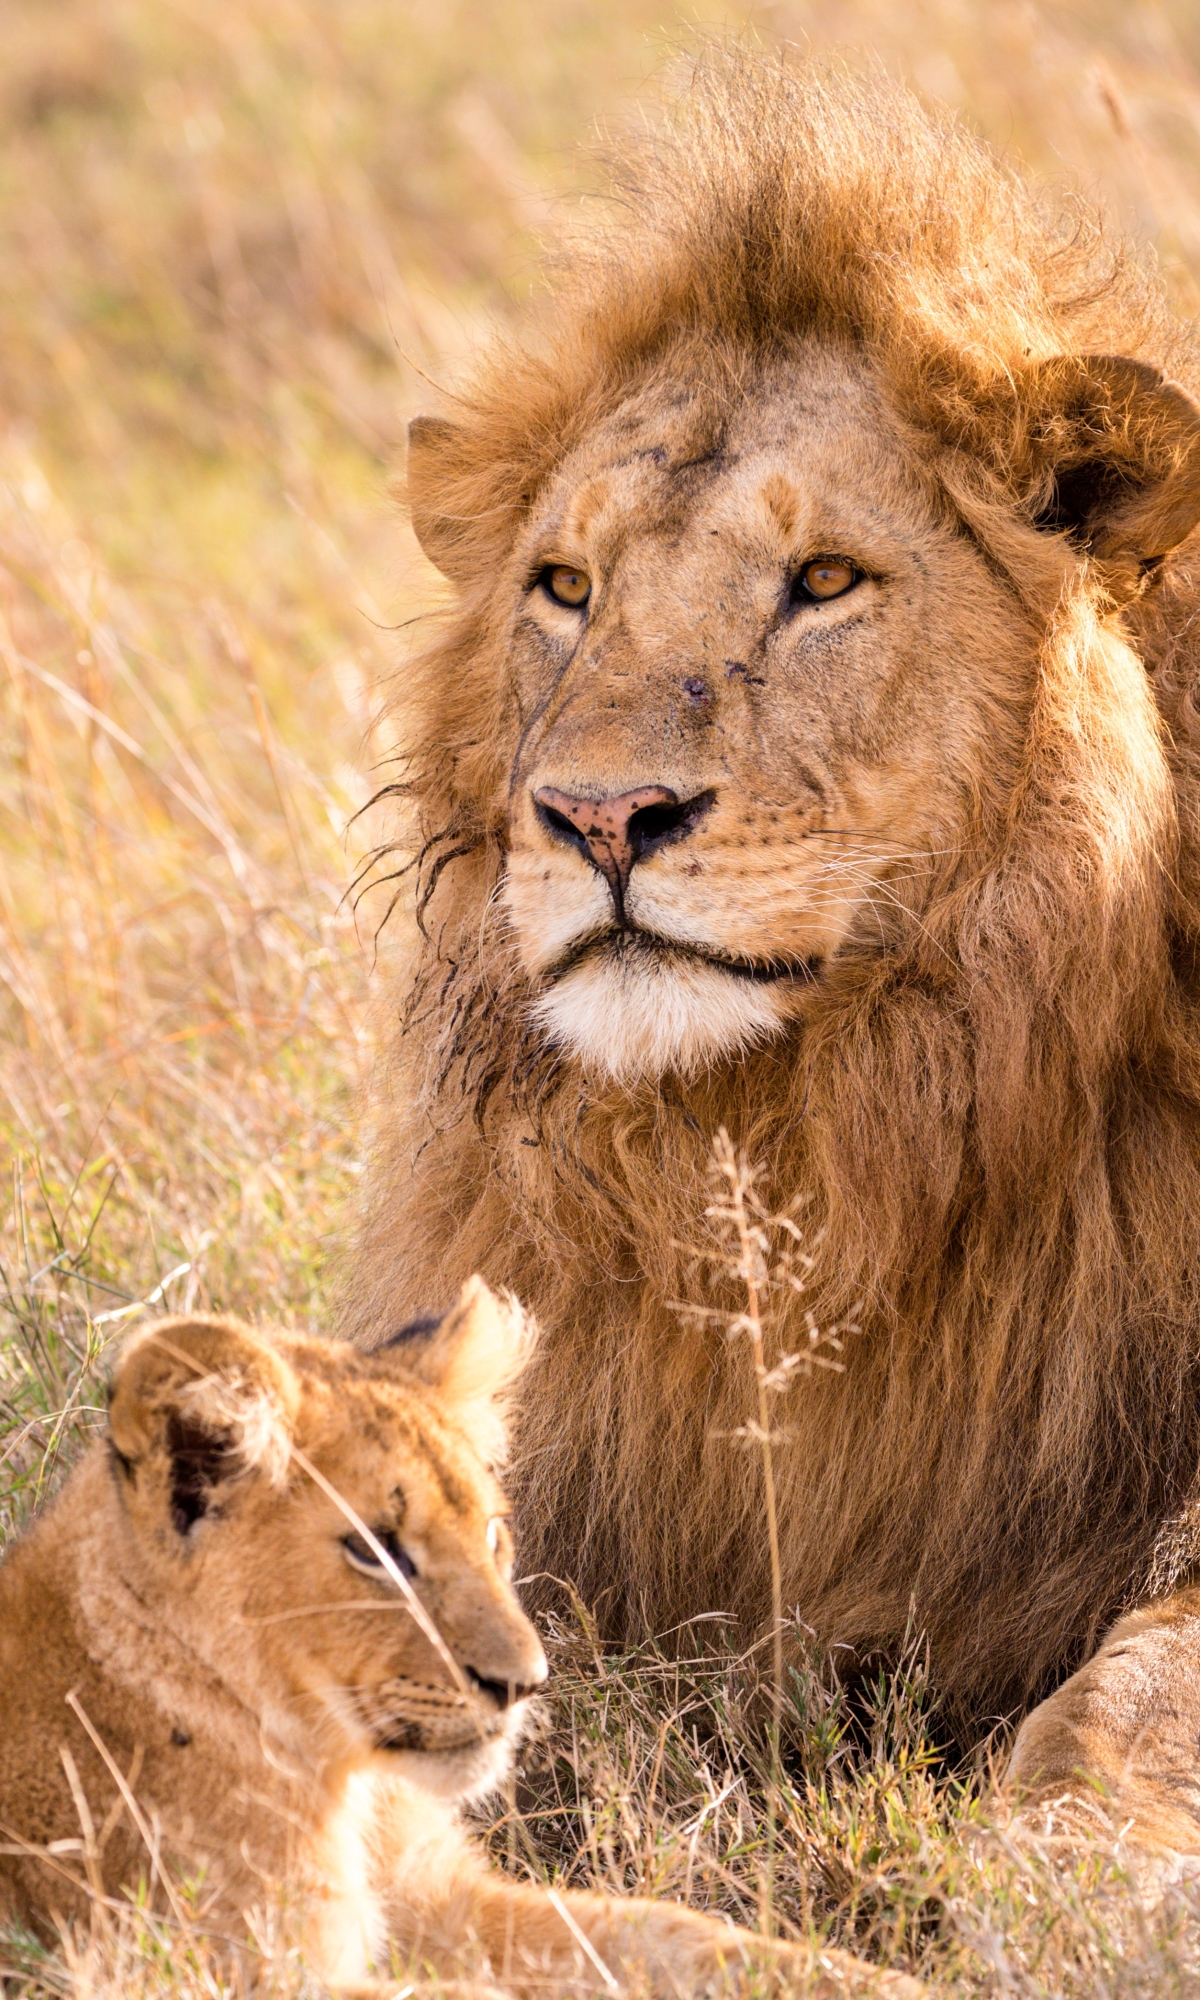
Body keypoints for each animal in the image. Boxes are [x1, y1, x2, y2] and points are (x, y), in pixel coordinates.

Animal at [0, 1280, 908, 2000]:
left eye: (492, 1531)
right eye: (377, 1552)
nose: (525, 1683)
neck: (348, 1782)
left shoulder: (445, 1903)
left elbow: (683, 1936)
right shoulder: (207, 1970)